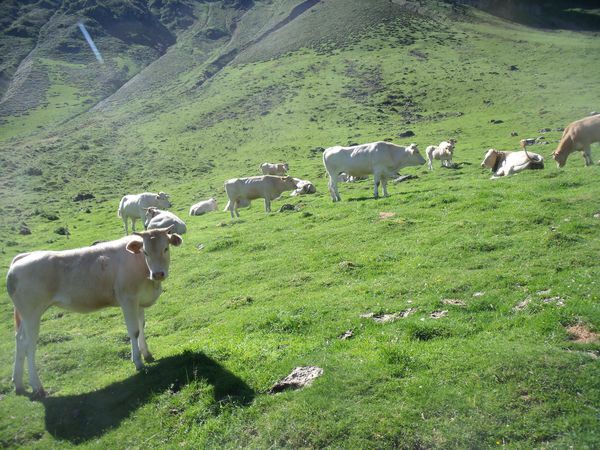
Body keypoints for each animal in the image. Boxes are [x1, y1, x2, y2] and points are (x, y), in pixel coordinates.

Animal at [5, 227, 183, 400]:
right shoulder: (128, 299)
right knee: (29, 345)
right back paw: (37, 387)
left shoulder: (139, 301)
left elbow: (142, 326)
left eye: (165, 248)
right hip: (32, 313)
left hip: (25, 316)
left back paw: (18, 384)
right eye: (145, 252)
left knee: (19, 340)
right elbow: (134, 331)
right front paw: (138, 362)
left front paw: (146, 354)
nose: (158, 274)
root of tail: (22, 257)